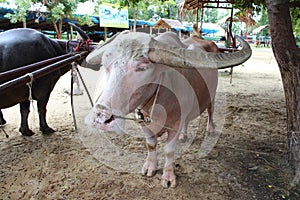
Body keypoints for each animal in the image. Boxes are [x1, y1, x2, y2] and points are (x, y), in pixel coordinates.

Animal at [84, 31, 251, 188]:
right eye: (105, 64)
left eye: (142, 68)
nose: (100, 117)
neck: (158, 101)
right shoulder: (145, 124)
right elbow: (151, 144)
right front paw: (150, 167)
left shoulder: (175, 124)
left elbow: (169, 150)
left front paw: (169, 177)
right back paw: (184, 135)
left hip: (212, 95)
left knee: (211, 110)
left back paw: (210, 129)